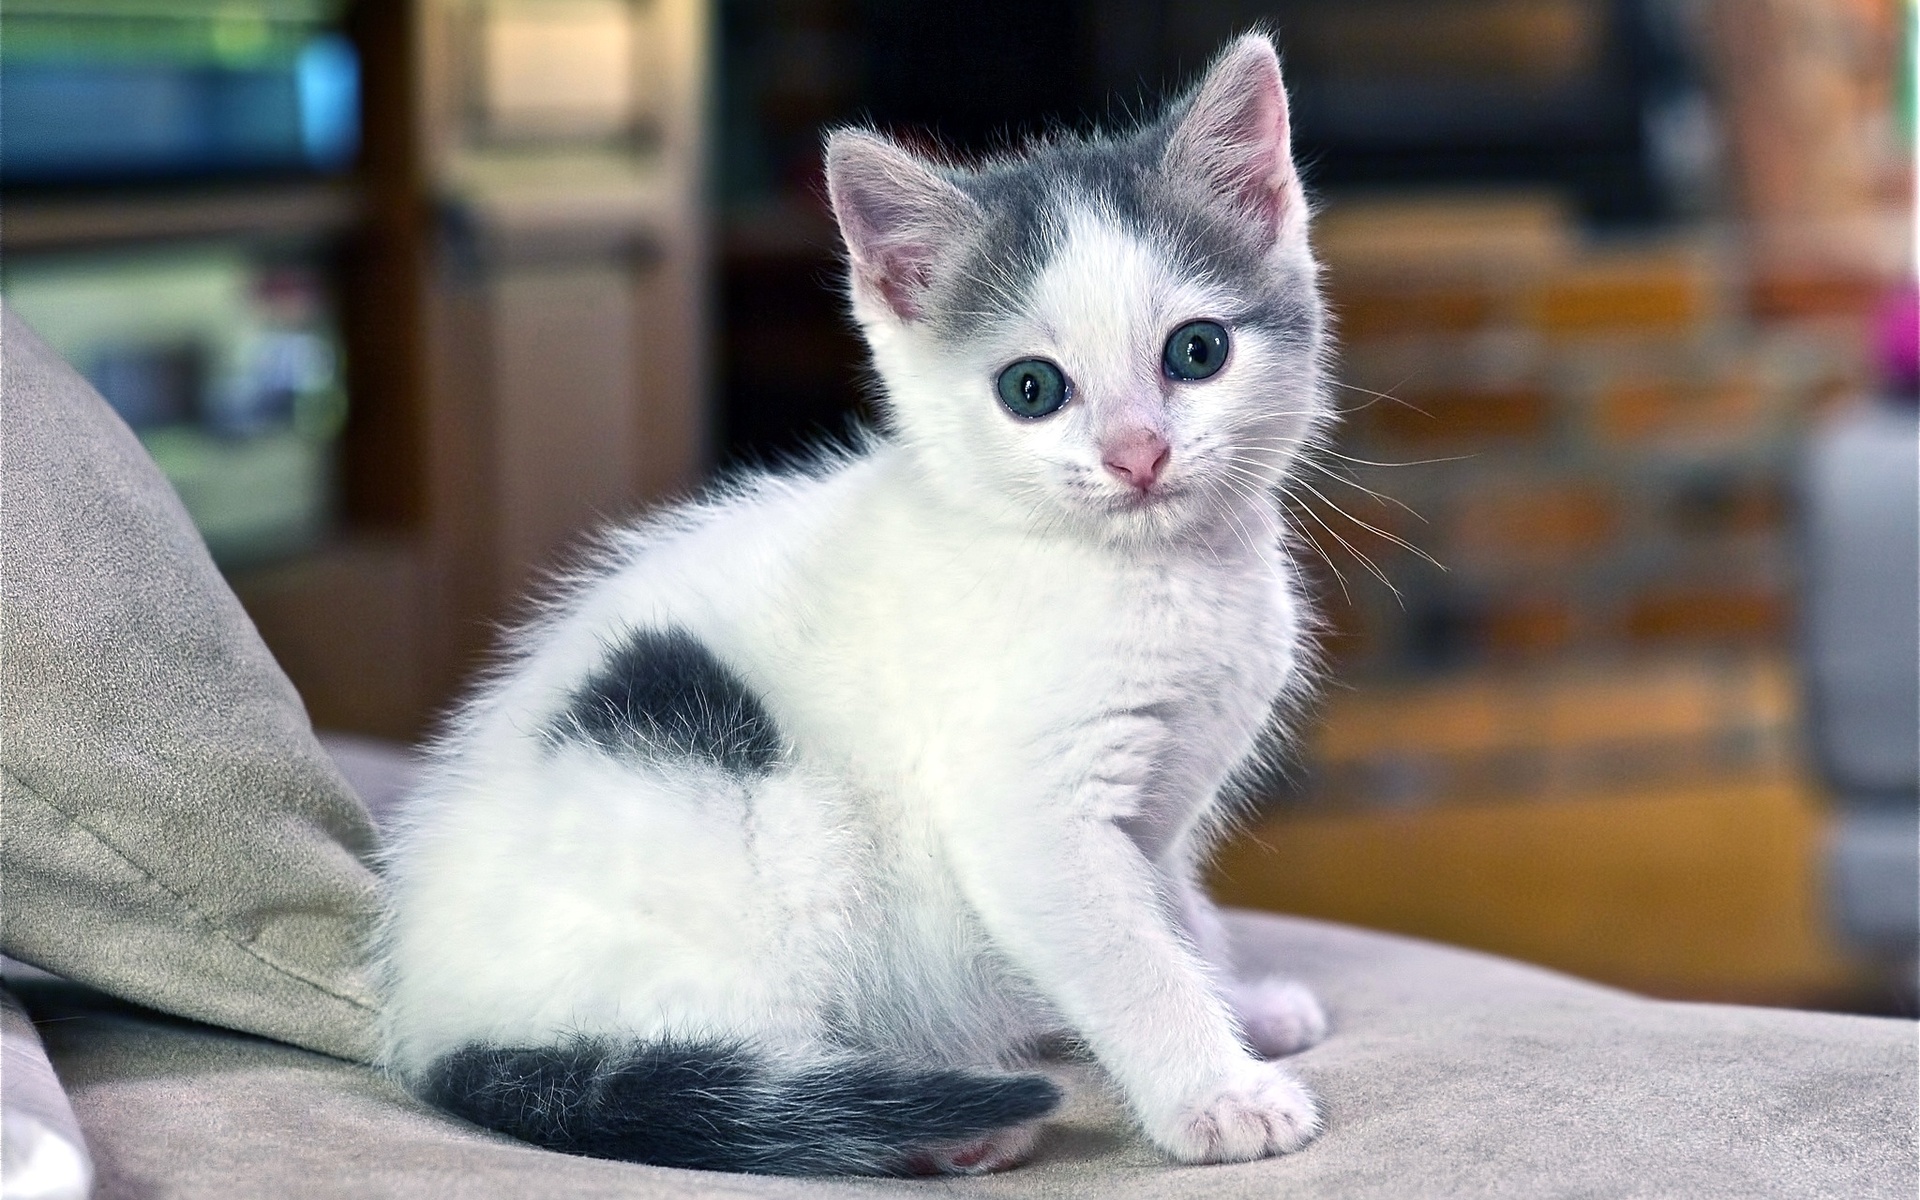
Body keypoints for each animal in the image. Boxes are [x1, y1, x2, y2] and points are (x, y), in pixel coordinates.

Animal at [374, 32, 1336, 1175]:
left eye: (1198, 352)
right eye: (1031, 390)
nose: (1136, 453)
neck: (1151, 575)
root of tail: (431, 1031)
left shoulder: (1160, 811)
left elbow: (1176, 913)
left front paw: (1242, 1007)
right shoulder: (1023, 809)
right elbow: (1125, 956)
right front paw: (1218, 1093)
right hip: (762, 823)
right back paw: (945, 1123)